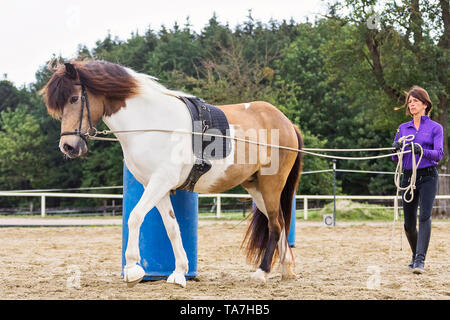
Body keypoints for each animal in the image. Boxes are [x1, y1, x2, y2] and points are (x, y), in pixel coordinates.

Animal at [42, 60, 304, 288]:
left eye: (74, 98)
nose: (68, 147)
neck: (149, 124)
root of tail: (286, 123)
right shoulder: (157, 187)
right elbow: (172, 227)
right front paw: (179, 273)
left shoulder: (159, 182)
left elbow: (135, 217)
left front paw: (133, 270)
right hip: (256, 187)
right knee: (281, 221)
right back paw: (286, 270)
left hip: (271, 185)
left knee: (275, 225)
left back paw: (262, 272)